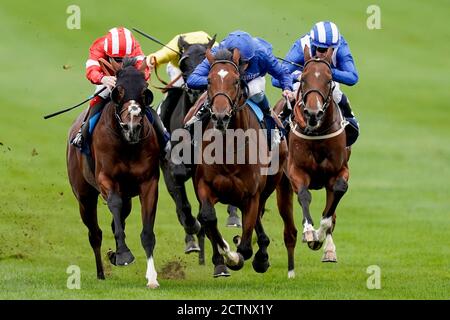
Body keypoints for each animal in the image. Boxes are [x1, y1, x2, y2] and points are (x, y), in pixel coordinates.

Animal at [67, 57, 162, 288]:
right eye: (117, 91)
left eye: (145, 92)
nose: (132, 126)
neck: (126, 145)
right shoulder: (106, 179)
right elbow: (115, 204)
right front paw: (124, 254)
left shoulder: (149, 183)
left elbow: (147, 232)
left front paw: (152, 277)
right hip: (84, 196)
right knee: (95, 233)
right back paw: (101, 272)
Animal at [192, 48, 298, 278]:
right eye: (208, 80)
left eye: (235, 81)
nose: (220, 116)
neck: (229, 148)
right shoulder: (204, 186)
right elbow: (208, 217)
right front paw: (226, 256)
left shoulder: (251, 195)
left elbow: (246, 247)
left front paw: (246, 255)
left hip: (268, 186)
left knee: (259, 215)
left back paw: (261, 256)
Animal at [288, 45, 352, 262]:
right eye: (303, 78)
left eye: (329, 79)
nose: (313, 113)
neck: (317, 133)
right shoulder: (295, 170)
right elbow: (304, 195)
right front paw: (309, 232)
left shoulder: (339, 171)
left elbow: (336, 196)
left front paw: (320, 236)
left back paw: (329, 250)